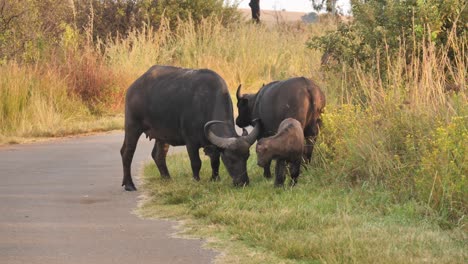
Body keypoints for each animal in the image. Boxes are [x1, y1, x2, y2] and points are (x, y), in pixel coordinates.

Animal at [120, 65, 260, 191]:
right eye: (230, 159)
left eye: (247, 157)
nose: (243, 182)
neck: (205, 103)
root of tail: (133, 88)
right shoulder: (191, 143)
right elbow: (196, 163)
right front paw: (196, 180)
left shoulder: (212, 144)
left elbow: (215, 161)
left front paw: (215, 178)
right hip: (132, 126)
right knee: (127, 152)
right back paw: (129, 185)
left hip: (162, 135)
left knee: (158, 155)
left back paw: (167, 178)